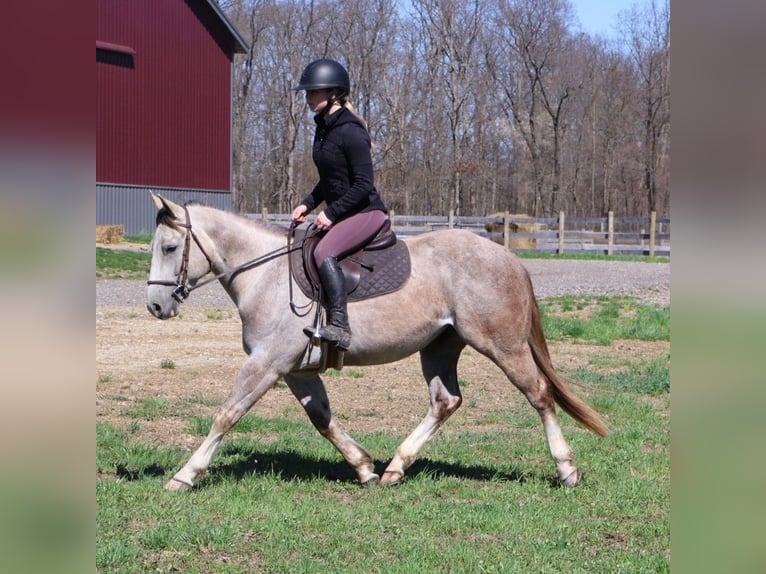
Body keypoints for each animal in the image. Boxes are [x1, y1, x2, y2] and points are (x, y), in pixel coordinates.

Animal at [146, 193, 609, 491]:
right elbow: (322, 418)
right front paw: (365, 468)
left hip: (502, 345)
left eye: (169, 247)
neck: (266, 275)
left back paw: (566, 469)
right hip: (440, 346)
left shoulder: (266, 363)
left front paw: (185, 475)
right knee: (445, 401)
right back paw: (395, 469)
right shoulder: (294, 370)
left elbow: (227, 414)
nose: (155, 305)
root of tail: (508, 257)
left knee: (539, 394)